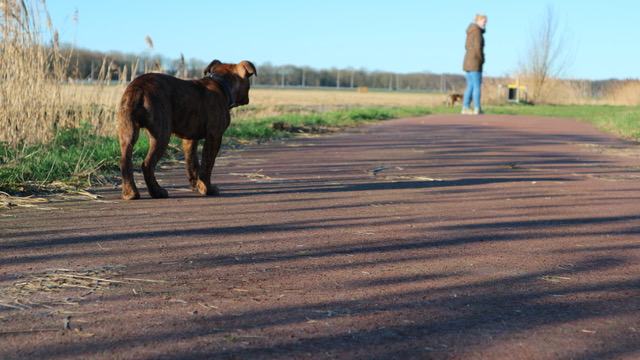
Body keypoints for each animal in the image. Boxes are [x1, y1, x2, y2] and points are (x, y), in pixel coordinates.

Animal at [116, 59, 256, 200]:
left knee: (125, 160)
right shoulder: (215, 136)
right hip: (161, 134)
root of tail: (139, 87)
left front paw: (197, 186)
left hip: (127, 131)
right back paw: (157, 192)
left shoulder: (189, 139)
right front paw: (208, 189)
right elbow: (207, 166)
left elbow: (192, 164)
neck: (222, 82)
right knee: (147, 164)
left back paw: (129, 193)